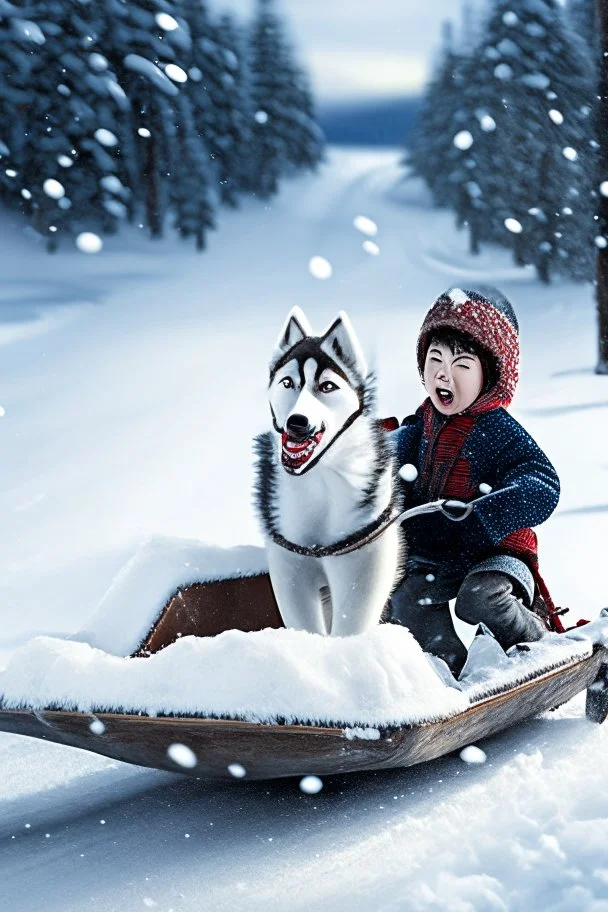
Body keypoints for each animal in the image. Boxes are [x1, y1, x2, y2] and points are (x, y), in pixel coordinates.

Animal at [254, 306, 406, 636]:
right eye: (288, 383)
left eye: (327, 386)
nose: (297, 421)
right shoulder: (290, 565)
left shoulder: (361, 563)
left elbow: (350, 629)